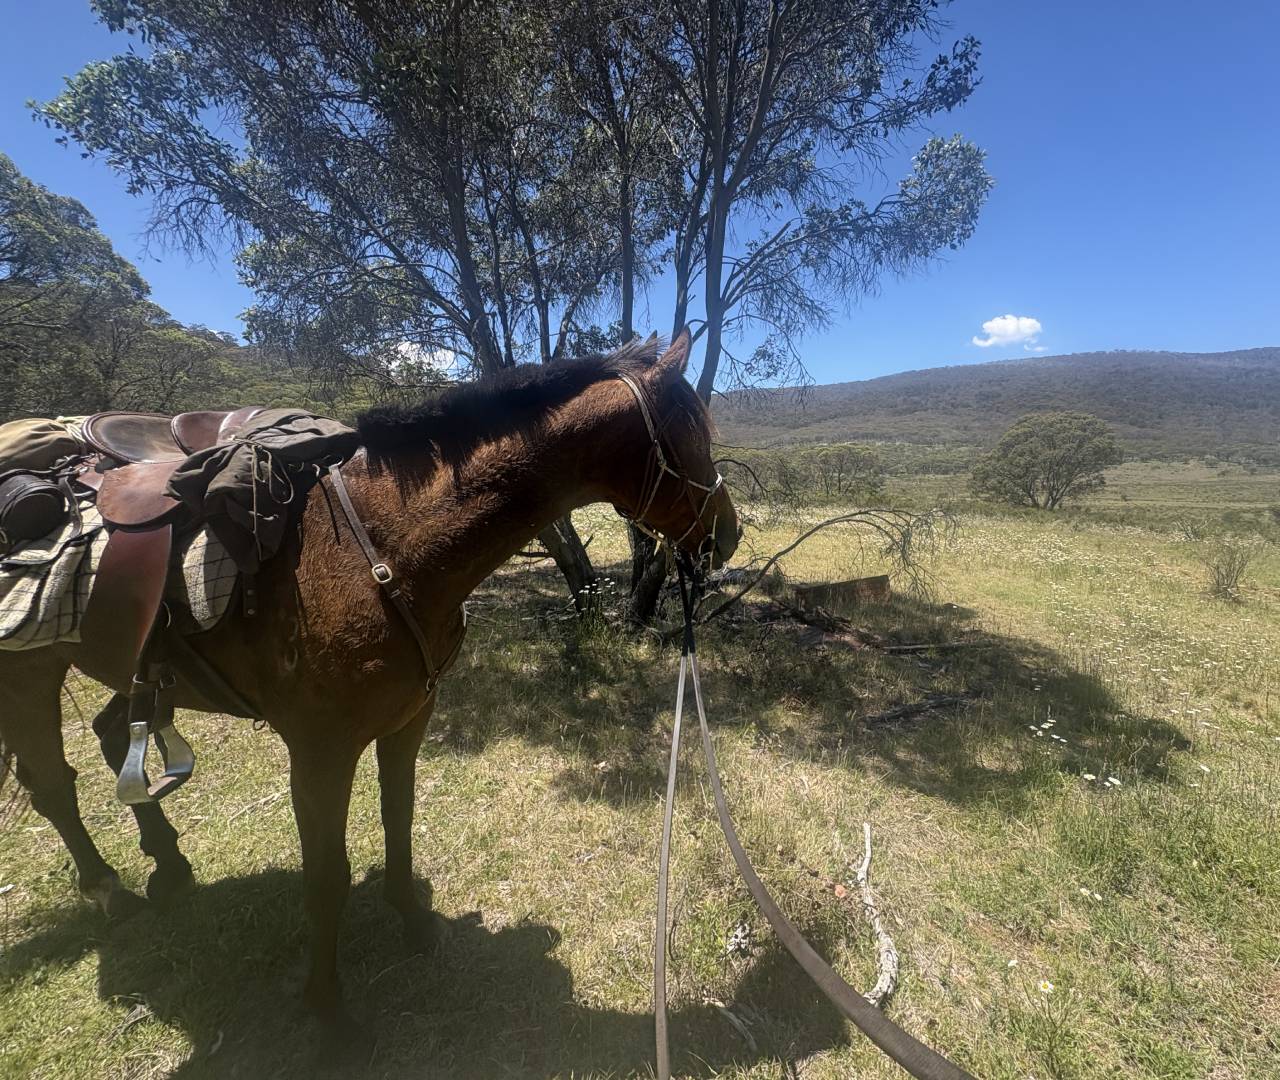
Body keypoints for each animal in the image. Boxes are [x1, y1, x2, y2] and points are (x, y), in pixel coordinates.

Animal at [0, 331, 738, 1035]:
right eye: (690, 437)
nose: (726, 536)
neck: (386, 552)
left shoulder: (409, 721)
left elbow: (399, 823)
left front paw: (414, 923)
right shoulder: (319, 752)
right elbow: (327, 876)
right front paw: (328, 1007)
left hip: (138, 675)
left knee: (108, 738)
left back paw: (168, 864)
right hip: (31, 674)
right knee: (52, 783)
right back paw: (108, 889)